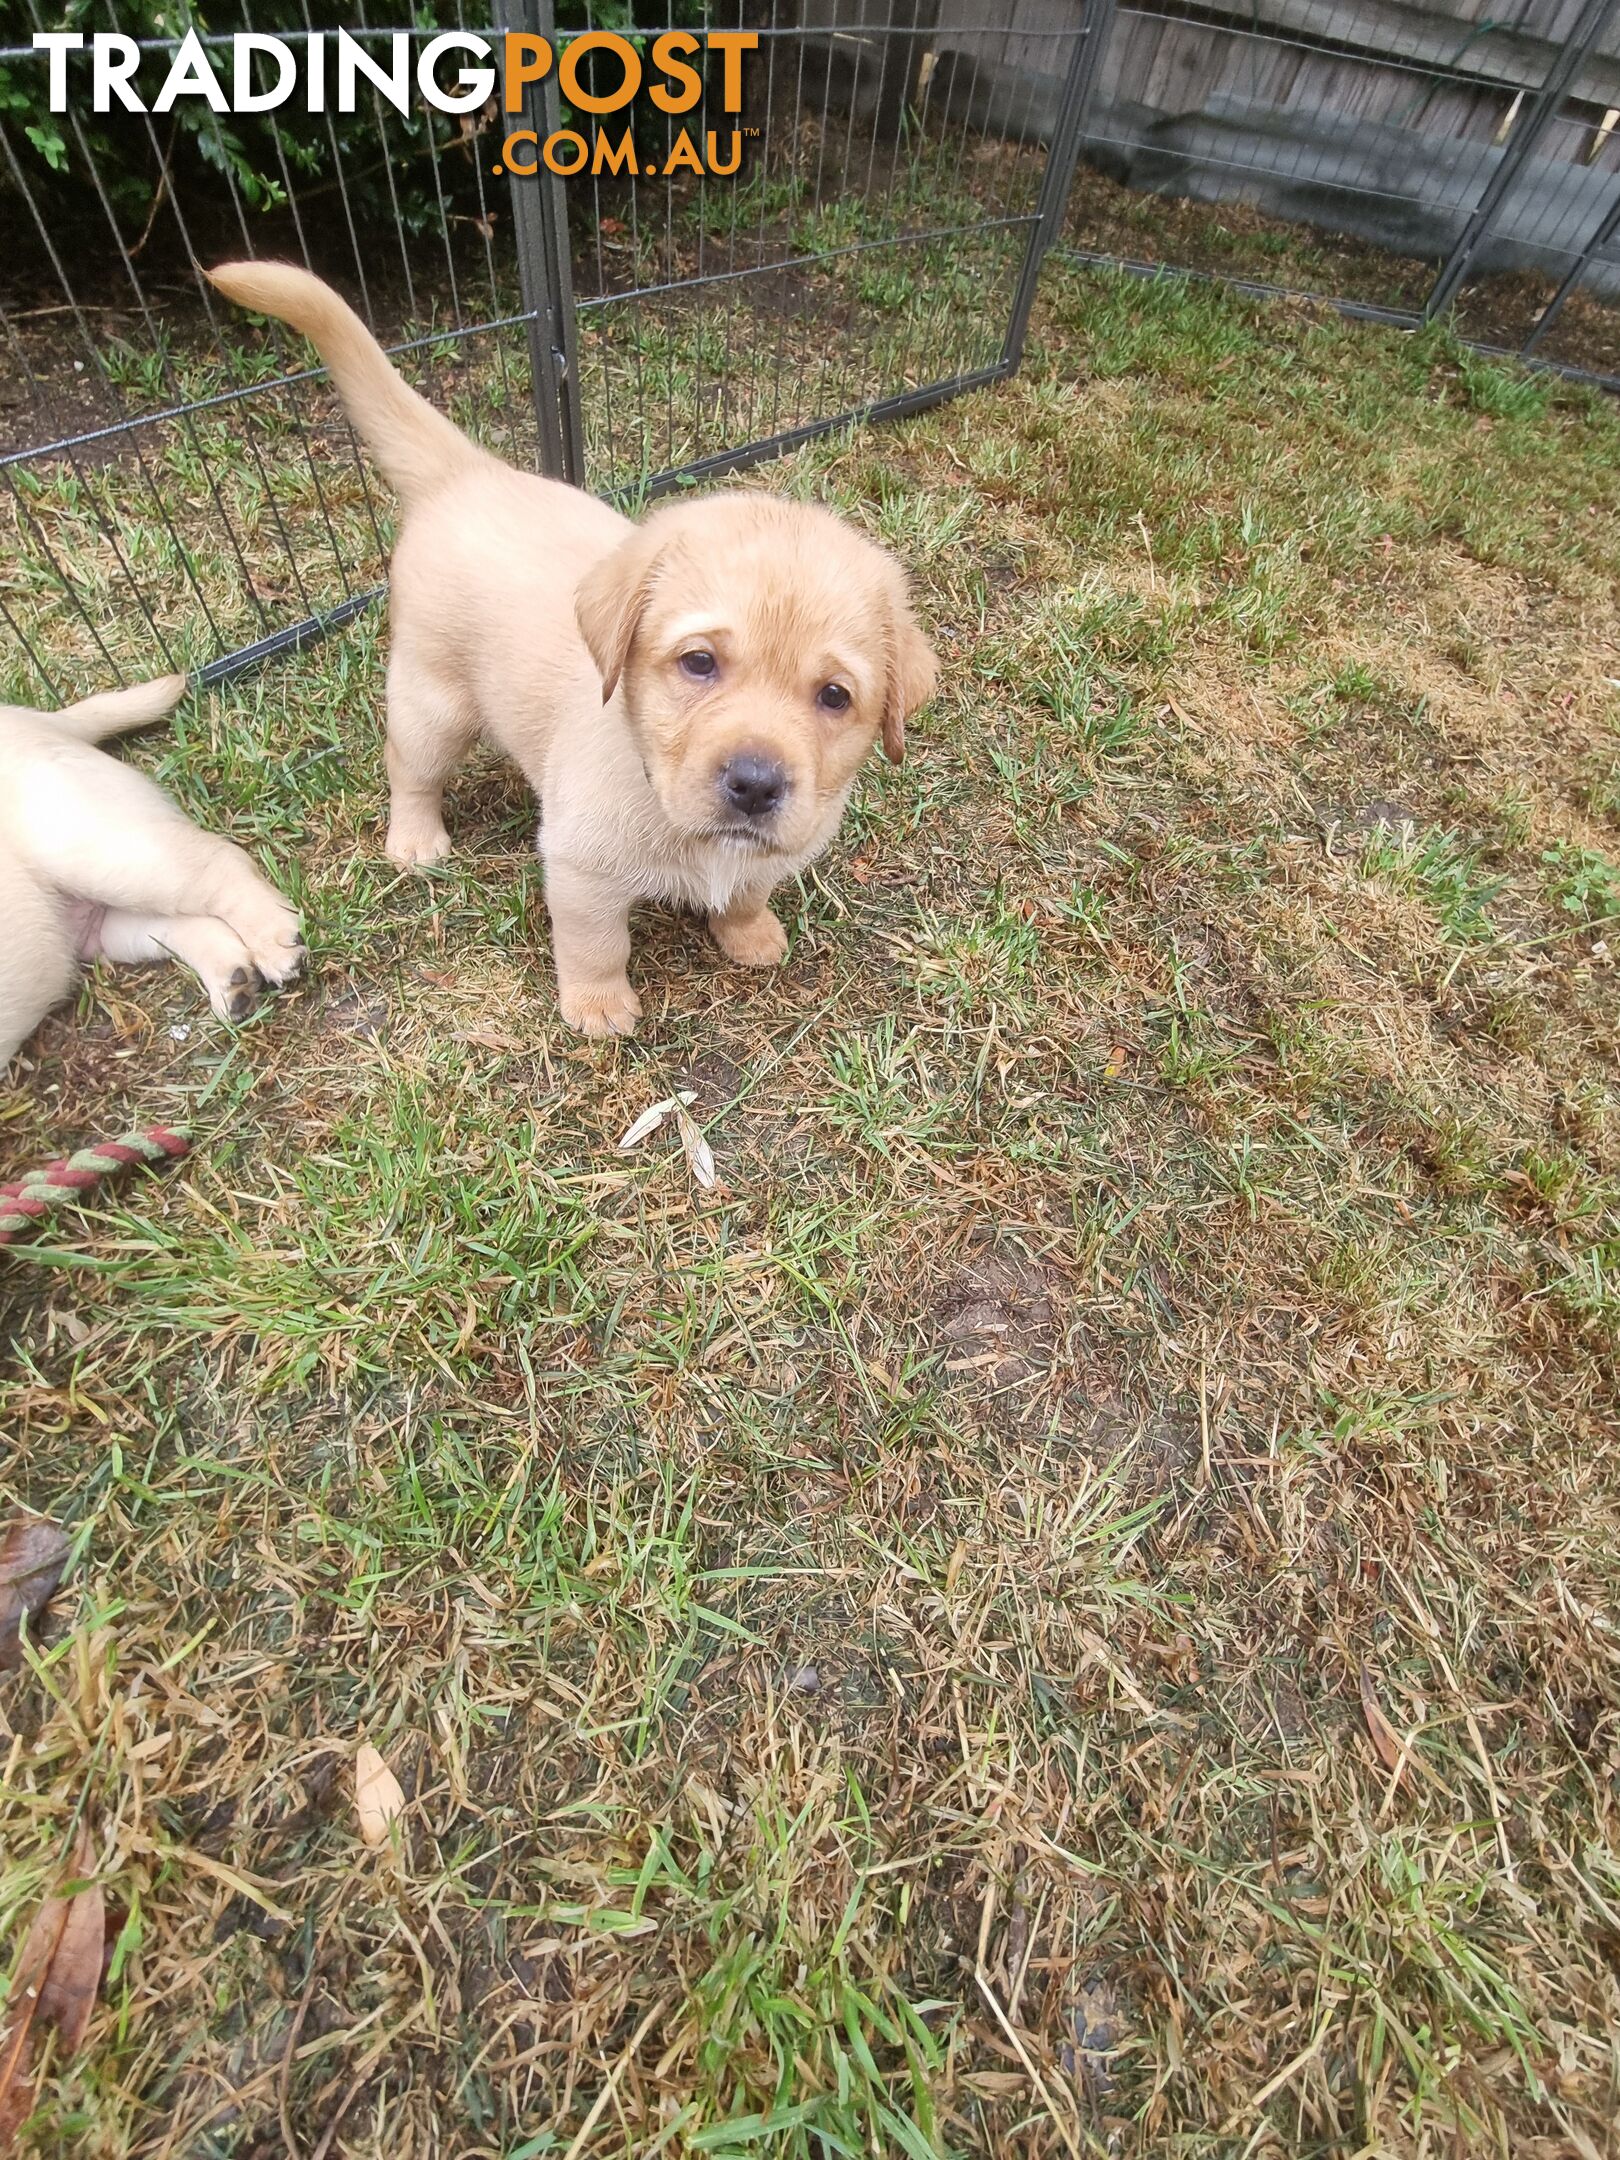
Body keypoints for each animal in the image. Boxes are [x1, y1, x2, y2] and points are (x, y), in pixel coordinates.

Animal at [0, 673, 306, 1071]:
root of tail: (48, 719)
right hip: (99, 925)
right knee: (183, 924)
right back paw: (231, 980)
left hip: (92, 845)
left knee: (218, 862)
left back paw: (275, 944)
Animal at [207, 261, 937, 1036]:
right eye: (698, 662)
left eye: (835, 696)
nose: (755, 785)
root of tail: (470, 472)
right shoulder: (582, 871)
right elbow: (597, 944)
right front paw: (598, 1006)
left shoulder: (776, 848)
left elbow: (745, 891)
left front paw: (751, 934)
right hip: (431, 700)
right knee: (409, 767)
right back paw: (415, 840)